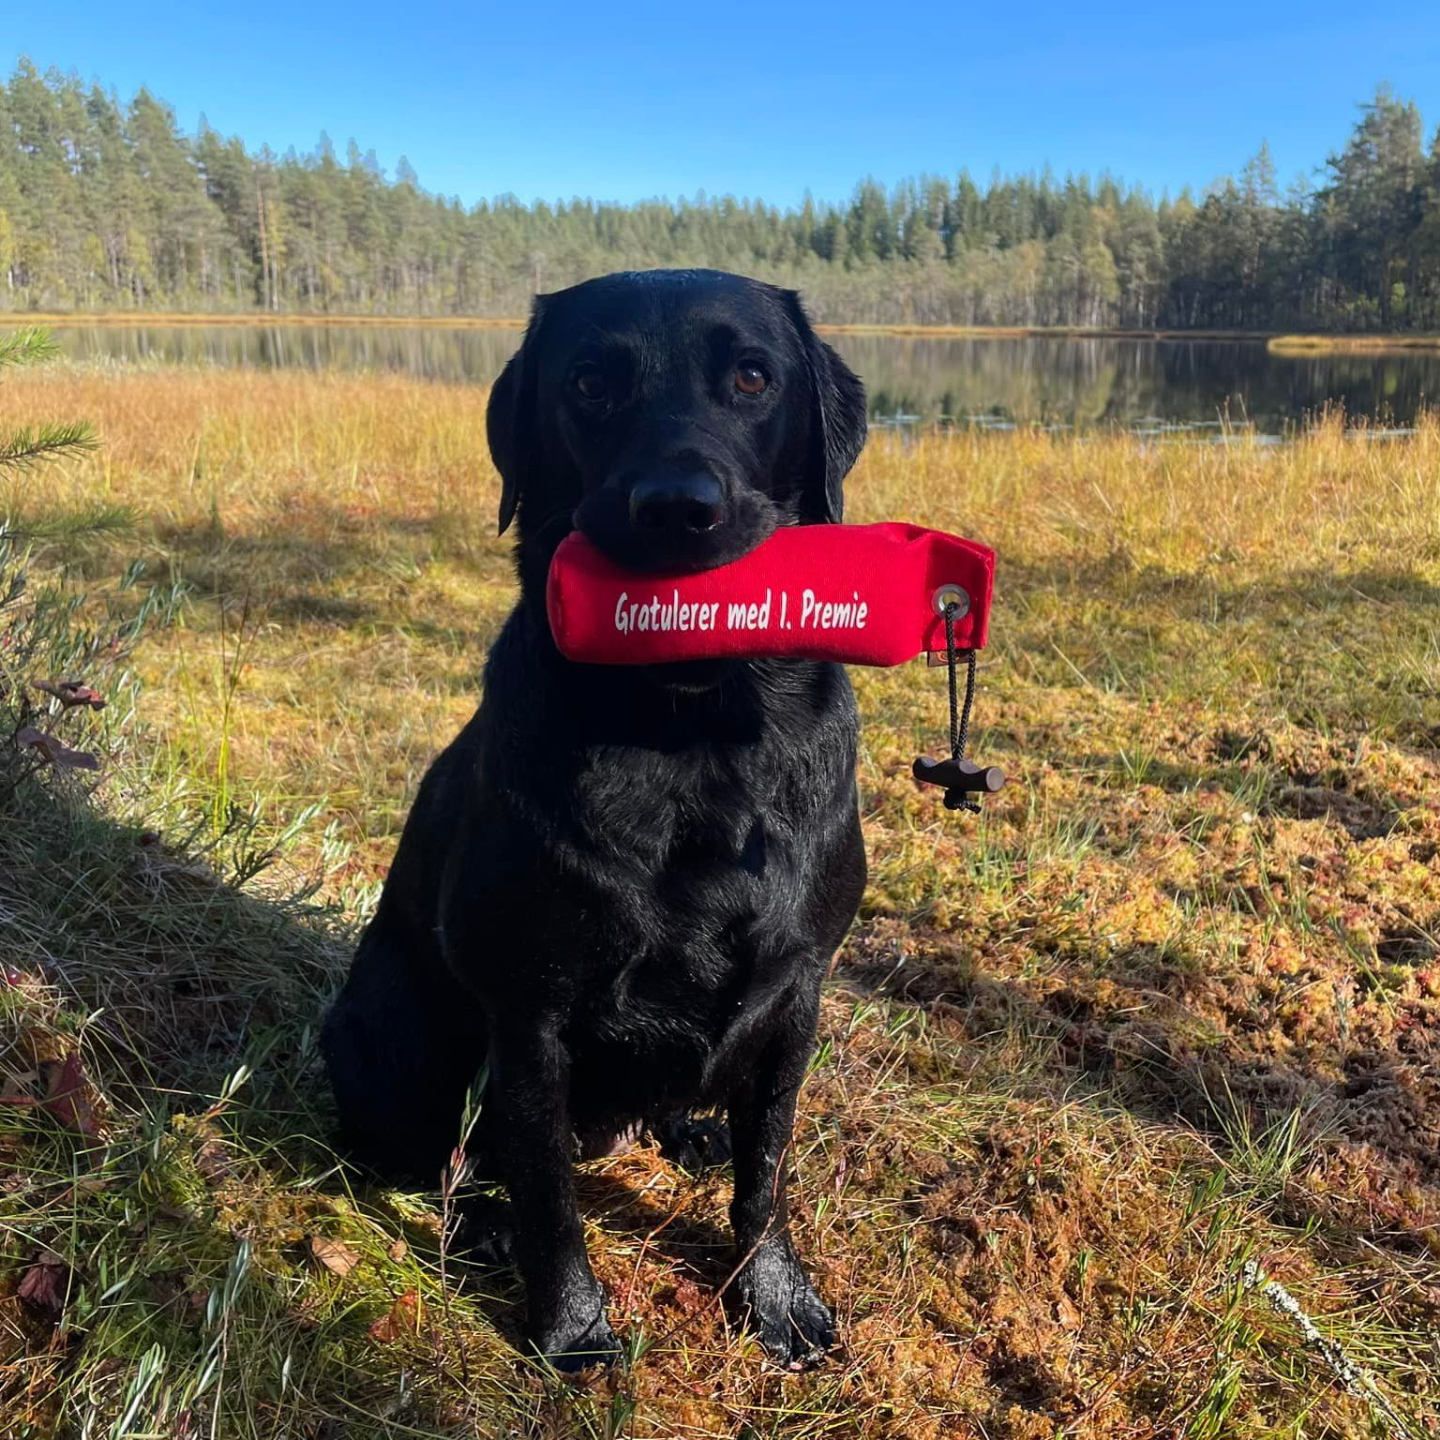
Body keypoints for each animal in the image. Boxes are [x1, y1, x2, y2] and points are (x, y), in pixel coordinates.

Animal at [322, 268, 869, 1370]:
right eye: (588, 383)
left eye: (753, 377)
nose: (676, 509)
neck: (693, 737)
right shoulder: (530, 1012)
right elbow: (549, 1196)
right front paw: (571, 1328)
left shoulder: (798, 991)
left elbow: (768, 1174)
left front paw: (776, 1300)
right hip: (392, 1025)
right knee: (420, 1153)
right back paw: (478, 1220)